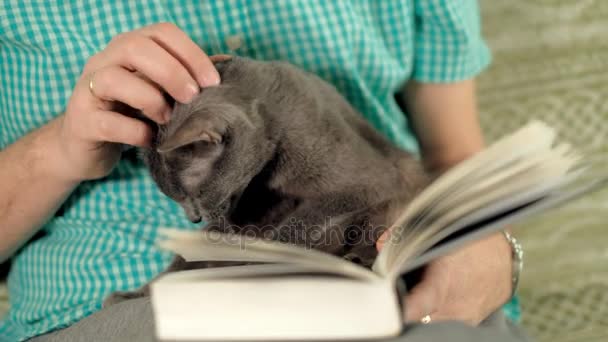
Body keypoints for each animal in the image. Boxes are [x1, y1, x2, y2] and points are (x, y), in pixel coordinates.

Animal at [103, 56, 428, 308]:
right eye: (174, 198)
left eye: (194, 195)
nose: (193, 218)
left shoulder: (361, 184)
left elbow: (296, 227)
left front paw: (256, 262)